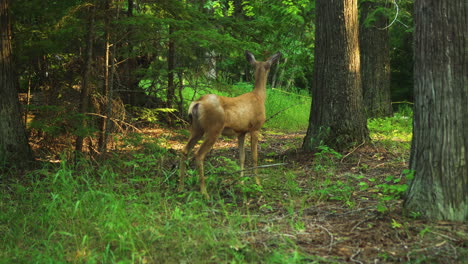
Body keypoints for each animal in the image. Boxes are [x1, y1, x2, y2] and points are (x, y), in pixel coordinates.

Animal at [179, 50, 282, 197]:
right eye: (268, 66)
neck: (259, 96)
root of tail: (197, 103)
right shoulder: (255, 128)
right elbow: (254, 157)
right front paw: (257, 183)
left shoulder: (241, 132)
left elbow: (242, 157)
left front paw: (241, 183)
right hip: (214, 128)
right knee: (199, 155)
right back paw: (204, 192)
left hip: (196, 128)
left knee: (184, 150)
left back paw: (181, 187)